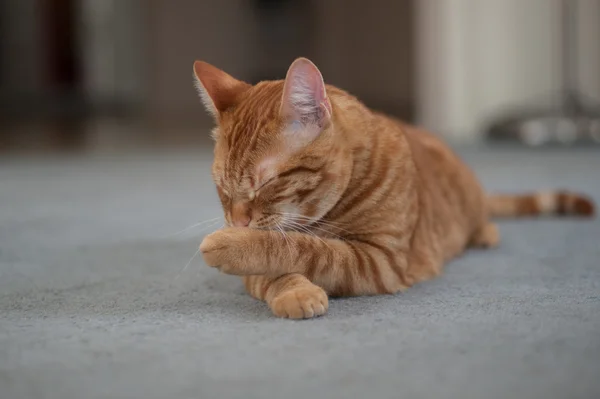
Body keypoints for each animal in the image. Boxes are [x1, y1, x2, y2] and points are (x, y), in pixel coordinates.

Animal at [193, 57, 596, 318]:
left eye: (267, 182)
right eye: (222, 188)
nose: (238, 223)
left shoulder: (380, 261)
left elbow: (306, 248)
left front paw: (235, 244)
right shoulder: (257, 273)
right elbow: (277, 268)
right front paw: (297, 291)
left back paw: (485, 232)